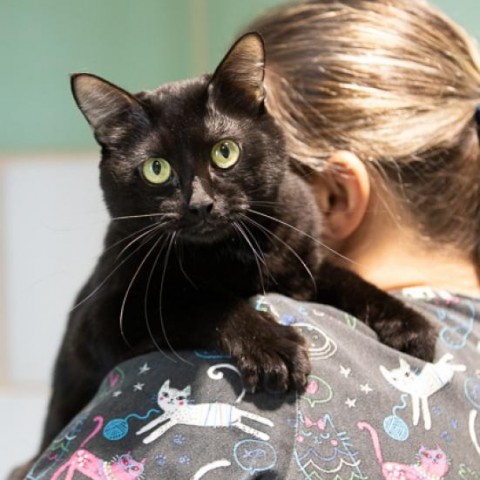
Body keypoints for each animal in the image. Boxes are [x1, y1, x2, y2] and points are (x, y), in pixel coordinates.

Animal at [137, 380, 276, 444]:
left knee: (251, 428)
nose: (170, 399)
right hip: (236, 423)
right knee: (247, 426)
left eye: (179, 398)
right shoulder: (166, 415)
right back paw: (264, 434)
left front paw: (148, 439)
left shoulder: (173, 420)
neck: (172, 411)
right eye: (165, 394)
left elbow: (160, 429)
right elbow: (152, 423)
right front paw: (141, 431)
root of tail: (236, 411)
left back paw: (264, 435)